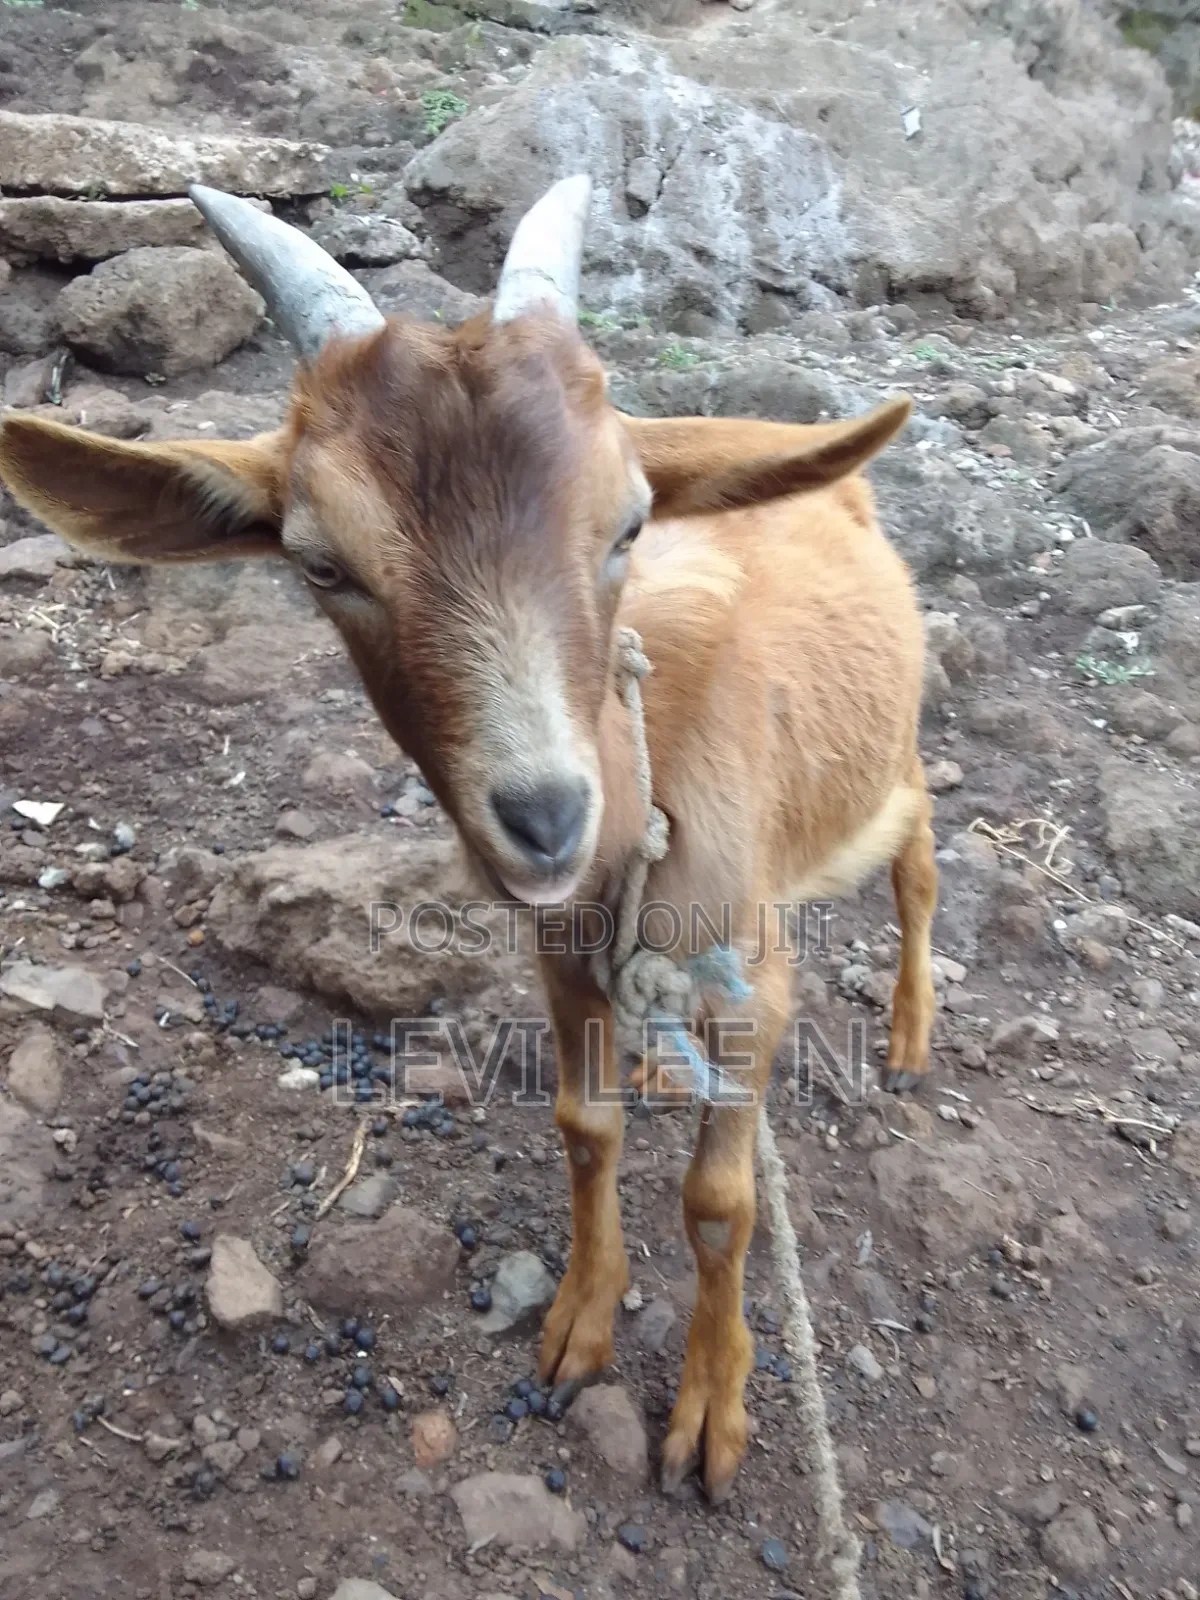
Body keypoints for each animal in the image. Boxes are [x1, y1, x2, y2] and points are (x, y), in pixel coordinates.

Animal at [0, 176, 935, 1503]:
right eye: (319, 562)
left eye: (630, 523)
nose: (546, 817)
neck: (645, 792)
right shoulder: (561, 949)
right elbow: (585, 1128)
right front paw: (581, 1321)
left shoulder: (755, 963)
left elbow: (719, 1200)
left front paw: (713, 1410)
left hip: (890, 764)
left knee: (920, 852)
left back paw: (908, 1032)